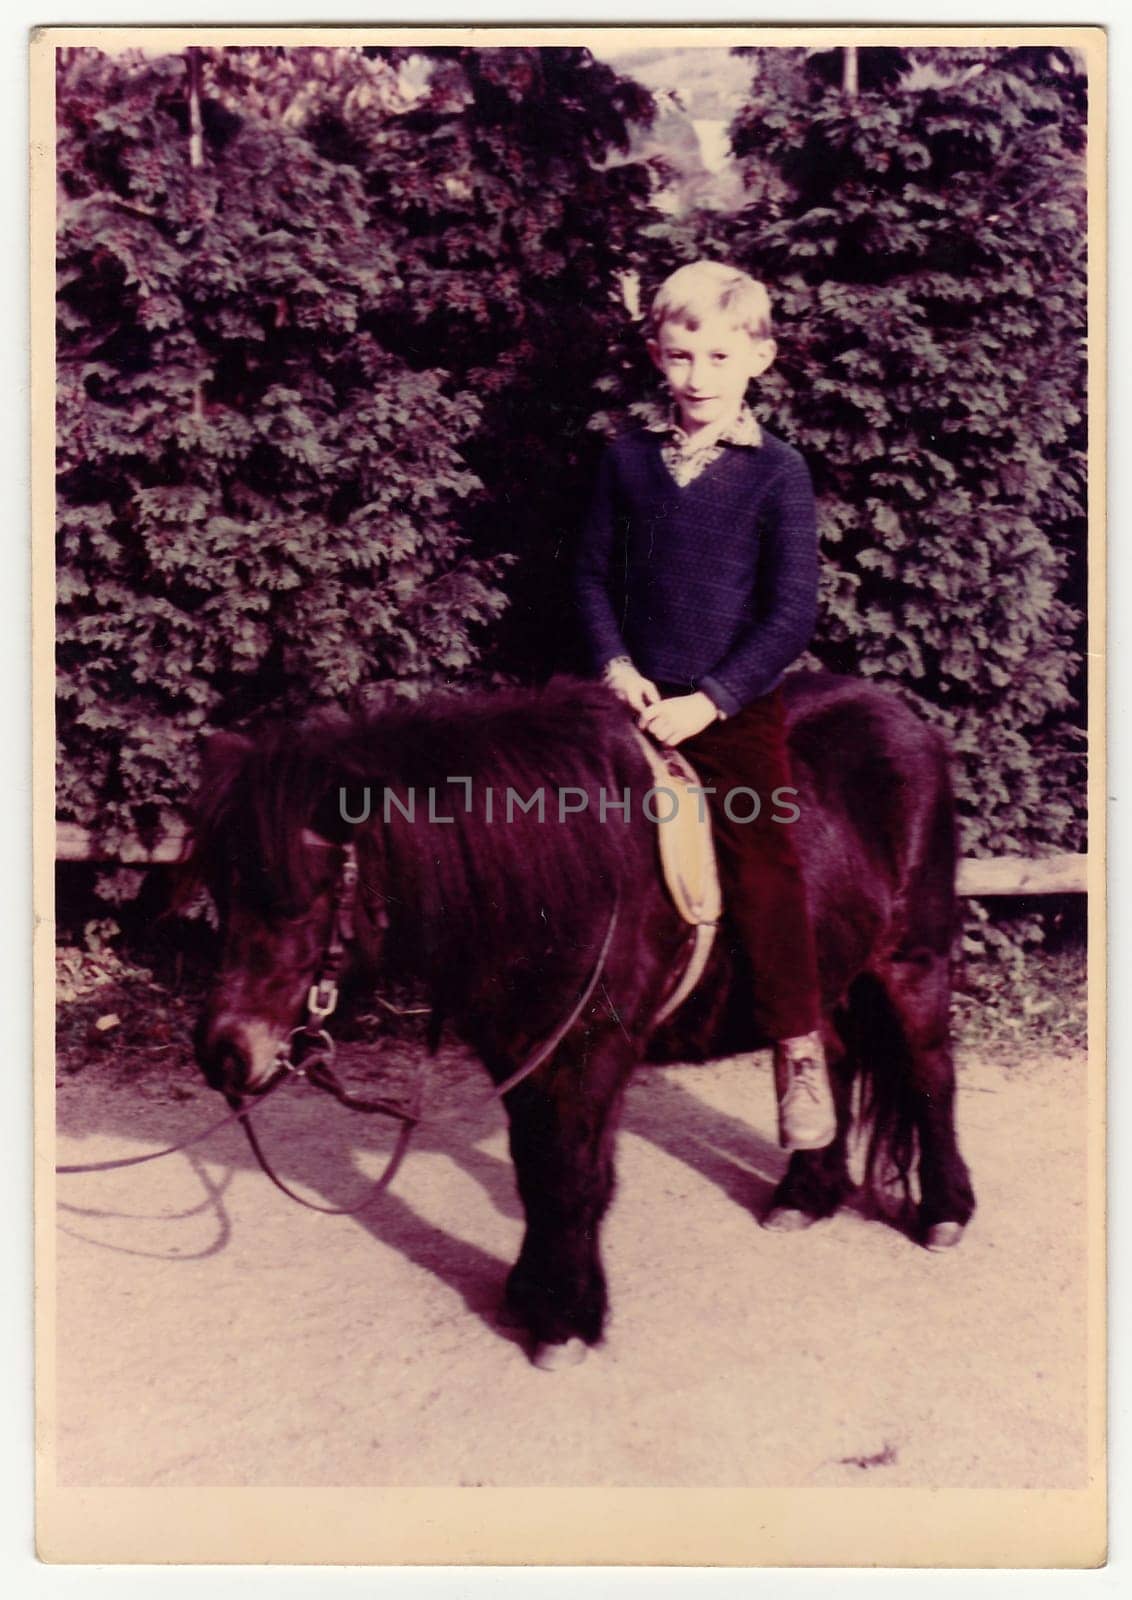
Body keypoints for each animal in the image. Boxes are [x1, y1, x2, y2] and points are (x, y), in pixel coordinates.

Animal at [185, 668, 972, 1369]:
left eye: (297, 898)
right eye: (220, 887)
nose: (224, 1052)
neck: (564, 873)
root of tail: (905, 721)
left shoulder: (589, 1053)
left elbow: (573, 1174)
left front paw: (565, 1321)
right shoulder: (521, 1049)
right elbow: (537, 1169)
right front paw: (531, 1296)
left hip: (912, 958)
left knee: (929, 1068)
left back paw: (944, 1213)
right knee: (833, 1056)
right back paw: (808, 1192)